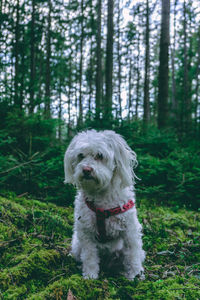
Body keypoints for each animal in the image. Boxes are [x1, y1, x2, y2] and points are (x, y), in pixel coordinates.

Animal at [65, 130, 145, 280]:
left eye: (100, 155)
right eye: (80, 155)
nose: (86, 169)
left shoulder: (130, 230)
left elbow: (132, 254)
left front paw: (135, 275)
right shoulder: (86, 231)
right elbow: (89, 255)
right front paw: (90, 275)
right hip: (77, 245)